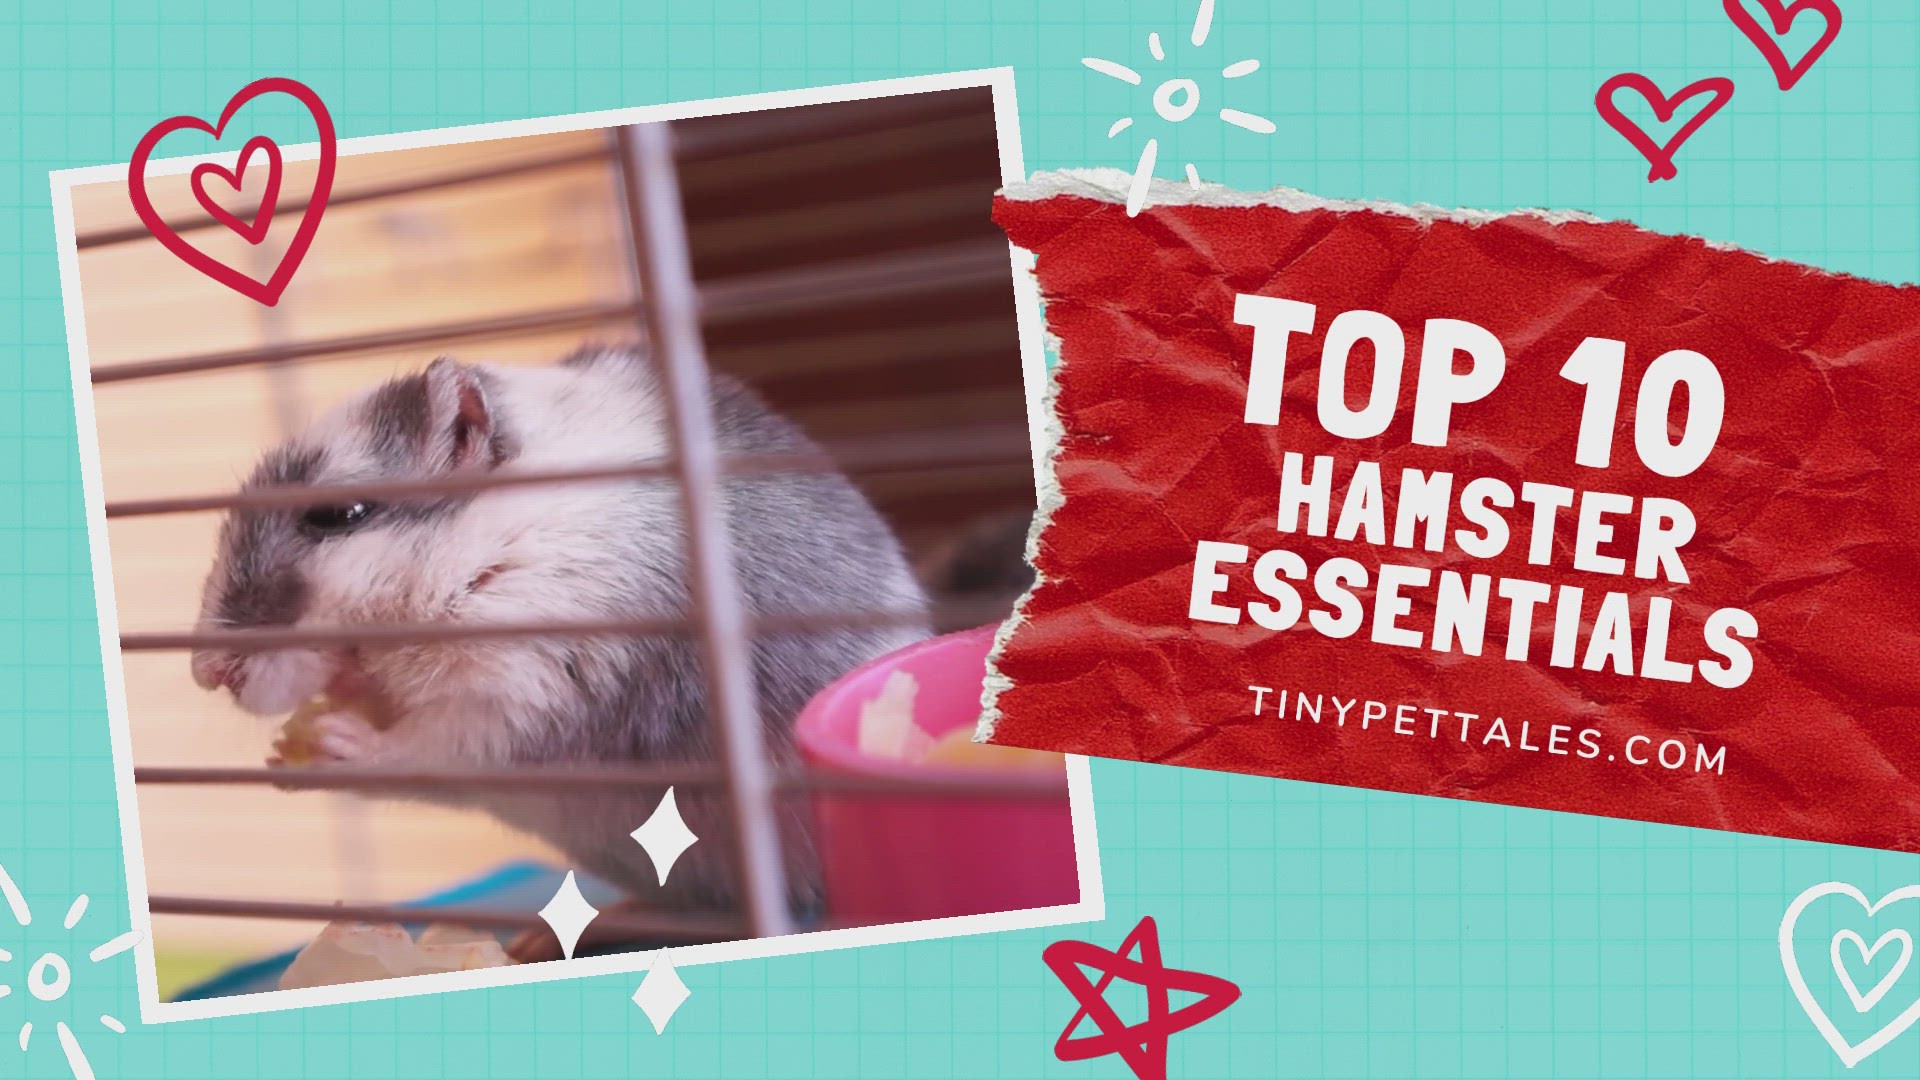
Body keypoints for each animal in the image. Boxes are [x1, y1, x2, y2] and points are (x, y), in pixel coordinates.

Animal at [188, 345, 932, 938]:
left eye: (336, 515)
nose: (202, 673)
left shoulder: (526, 686)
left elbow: (428, 750)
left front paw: (325, 746)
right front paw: (287, 748)